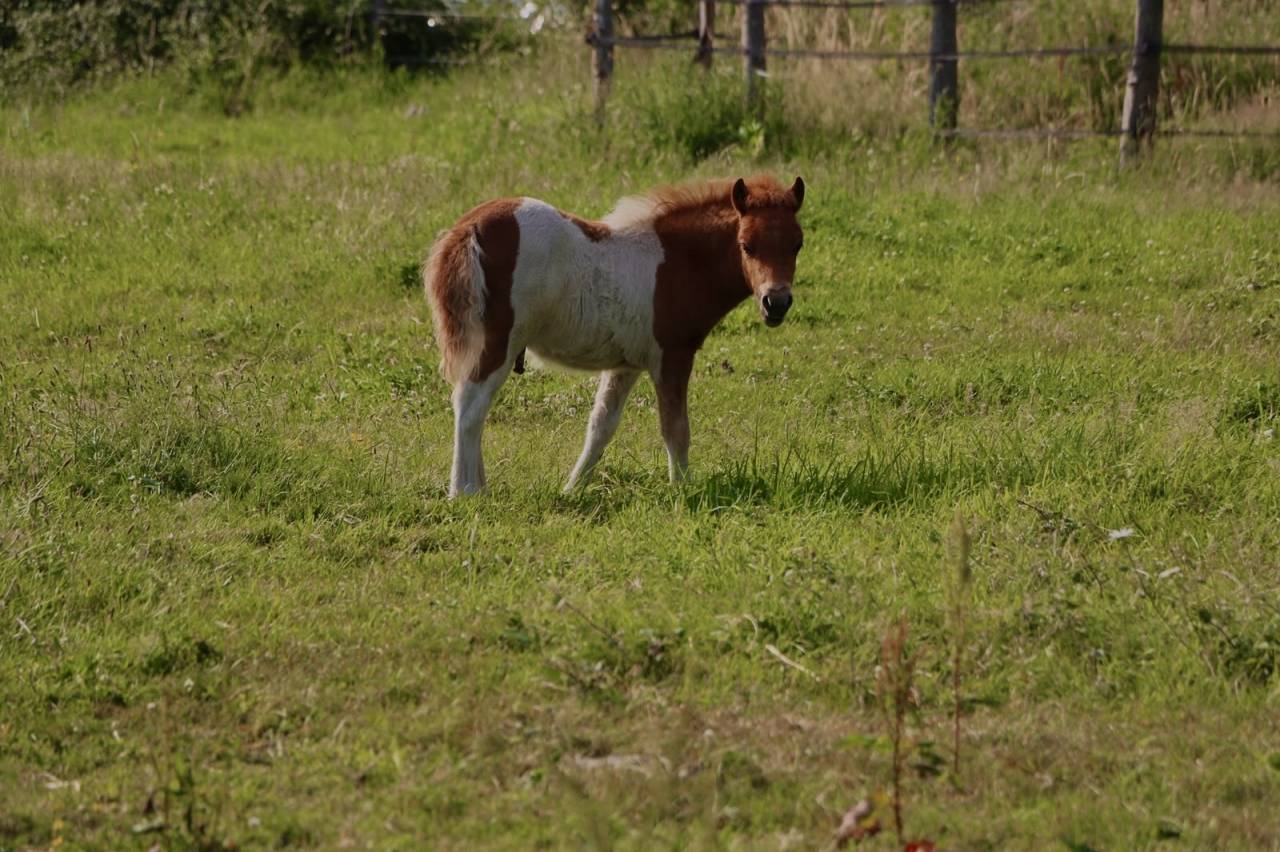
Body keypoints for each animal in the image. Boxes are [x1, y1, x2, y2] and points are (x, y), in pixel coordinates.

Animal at [423, 174, 806, 497]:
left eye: (797, 245)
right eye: (747, 245)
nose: (776, 303)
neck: (679, 262)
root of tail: (469, 226)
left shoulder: (626, 365)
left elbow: (601, 426)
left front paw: (572, 489)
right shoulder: (672, 356)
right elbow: (675, 429)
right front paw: (682, 490)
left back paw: (481, 487)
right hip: (500, 341)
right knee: (470, 405)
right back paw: (464, 492)